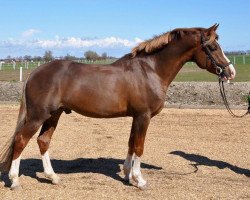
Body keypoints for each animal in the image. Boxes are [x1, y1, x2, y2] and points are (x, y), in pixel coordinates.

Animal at [0, 23, 234, 189]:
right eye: (213, 47)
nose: (230, 72)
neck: (150, 70)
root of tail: (35, 72)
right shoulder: (143, 116)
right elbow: (139, 146)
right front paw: (140, 180)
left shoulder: (136, 117)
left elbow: (131, 144)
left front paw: (128, 175)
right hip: (38, 115)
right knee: (21, 140)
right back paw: (15, 181)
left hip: (53, 115)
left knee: (43, 141)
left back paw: (53, 177)